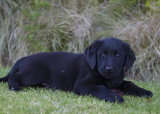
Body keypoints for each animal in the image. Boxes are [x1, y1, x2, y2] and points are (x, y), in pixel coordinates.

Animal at [0, 37, 152, 103]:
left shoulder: (118, 82)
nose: (109, 69)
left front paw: (144, 91)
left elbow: (129, 83)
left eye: (118, 55)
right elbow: (100, 88)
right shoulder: (82, 85)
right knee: (13, 77)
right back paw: (15, 87)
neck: (108, 79)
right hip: (34, 73)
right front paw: (115, 97)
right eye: (102, 55)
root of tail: (23, 58)